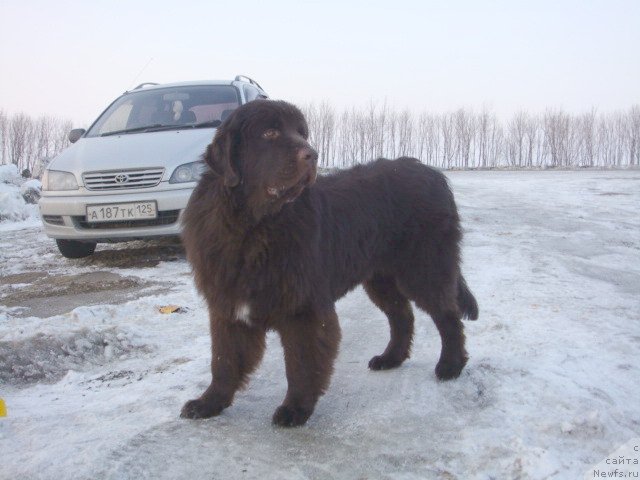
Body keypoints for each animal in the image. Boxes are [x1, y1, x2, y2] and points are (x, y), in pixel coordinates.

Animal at [178, 99, 478, 426]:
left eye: (301, 133)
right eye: (269, 133)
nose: (312, 154)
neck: (253, 228)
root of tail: (434, 174)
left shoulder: (304, 307)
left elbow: (301, 362)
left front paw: (295, 409)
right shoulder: (228, 305)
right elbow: (224, 360)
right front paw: (208, 403)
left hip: (425, 268)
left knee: (448, 316)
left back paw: (450, 366)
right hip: (381, 279)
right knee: (402, 316)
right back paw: (390, 359)